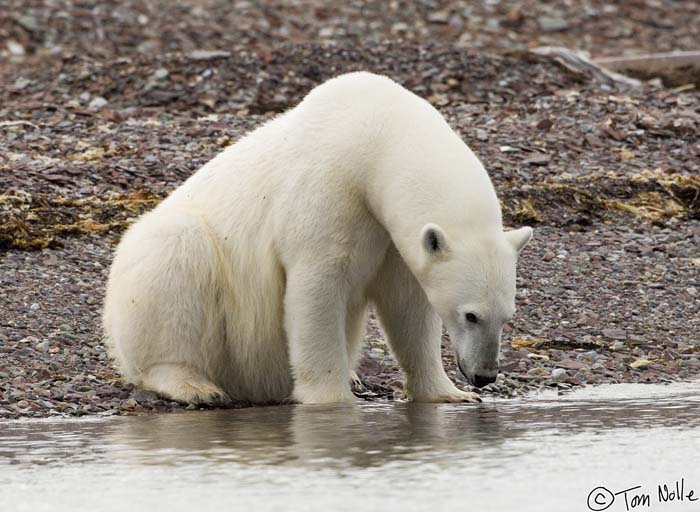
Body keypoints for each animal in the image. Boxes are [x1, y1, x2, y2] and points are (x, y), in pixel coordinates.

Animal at [102, 71, 532, 404]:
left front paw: (448, 393)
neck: (376, 135)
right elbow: (319, 285)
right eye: (471, 315)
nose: (484, 375)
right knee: (176, 259)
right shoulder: (329, 187)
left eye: (507, 317)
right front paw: (332, 399)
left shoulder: (393, 237)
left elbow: (407, 303)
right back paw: (194, 385)